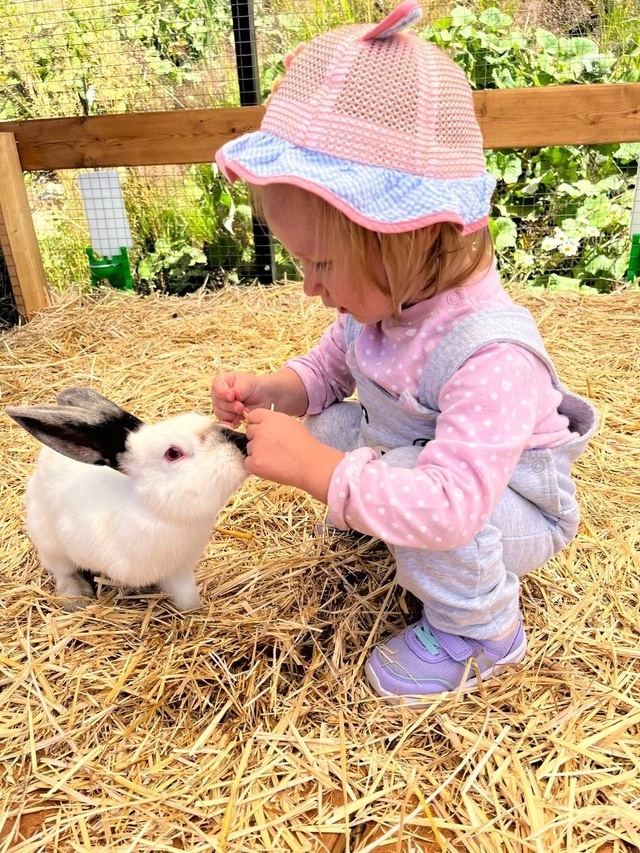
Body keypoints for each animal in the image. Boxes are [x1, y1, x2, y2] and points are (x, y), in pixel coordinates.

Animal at [6, 386, 249, 612]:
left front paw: (194, 611)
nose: (244, 441)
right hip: (45, 535)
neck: (156, 513)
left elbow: (187, 599)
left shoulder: (179, 572)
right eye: (173, 453)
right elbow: (65, 569)